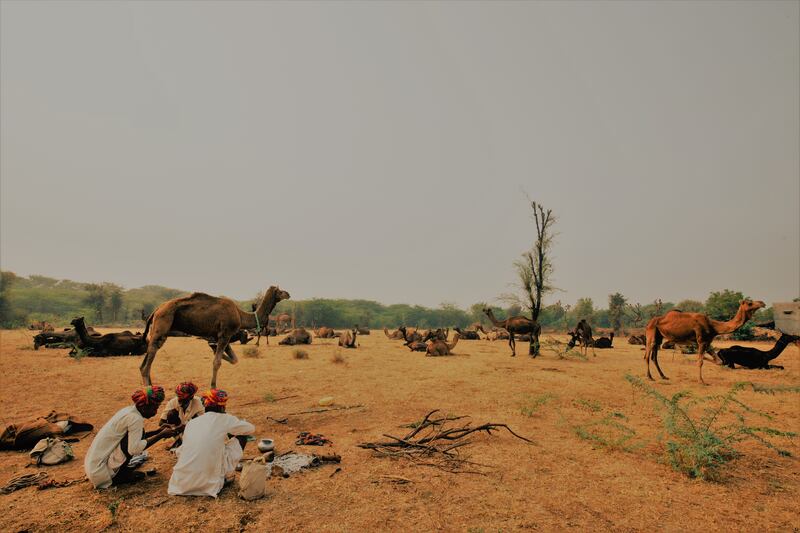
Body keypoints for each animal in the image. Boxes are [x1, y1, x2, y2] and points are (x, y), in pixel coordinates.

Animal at [141, 284, 290, 384]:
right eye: (280, 291)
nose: (288, 294)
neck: (241, 315)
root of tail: (156, 310)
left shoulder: (222, 336)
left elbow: (233, 359)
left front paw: (212, 347)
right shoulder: (225, 334)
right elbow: (217, 362)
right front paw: (213, 388)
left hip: (159, 330)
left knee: (145, 360)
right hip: (162, 323)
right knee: (149, 358)